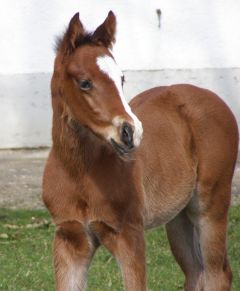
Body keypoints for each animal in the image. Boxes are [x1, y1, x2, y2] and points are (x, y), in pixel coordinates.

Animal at [42, 11, 238, 291]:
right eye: (85, 83)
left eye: (121, 79)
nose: (130, 132)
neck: (79, 172)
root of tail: (214, 98)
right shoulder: (70, 238)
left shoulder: (130, 235)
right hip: (178, 215)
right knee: (195, 271)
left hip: (211, 206)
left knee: (216, 274)